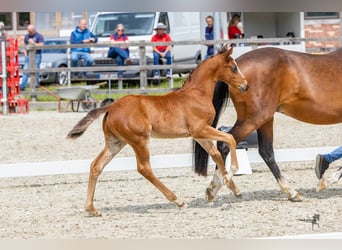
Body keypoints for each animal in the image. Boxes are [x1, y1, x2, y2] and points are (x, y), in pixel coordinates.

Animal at [67, 45, 248, 217]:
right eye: (233, 67)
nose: (245, 85)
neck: (196, 95)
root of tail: (111, 107)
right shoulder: (200, 129)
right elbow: (230, 138)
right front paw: (231, 173)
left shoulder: (199, 134)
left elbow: (216, 155)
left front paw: (230, 188)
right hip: (139, 140)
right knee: (144, 168)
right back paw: (178, 200)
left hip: (116, 143)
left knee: (96, 166)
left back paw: (92, 209)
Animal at [194, 47, 342, 202]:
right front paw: (329, 180)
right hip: (254, 119)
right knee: (225, 143)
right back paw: (218, 187)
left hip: (265, 120)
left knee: (266, 152)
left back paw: (291, 192)